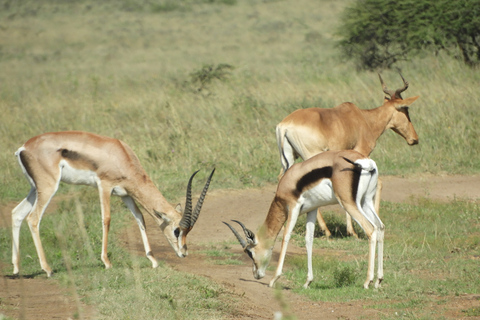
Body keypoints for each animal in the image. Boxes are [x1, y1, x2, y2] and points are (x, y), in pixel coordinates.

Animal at [11, 131, 215, 276]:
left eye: (188, 232)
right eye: (177, 231)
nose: (183, 253)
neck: (121, 156)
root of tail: (23, 148)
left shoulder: (125, 193)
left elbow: (140, 218)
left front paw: (153, 261)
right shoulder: (104, 186)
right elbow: (107, 219)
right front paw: (107, 262)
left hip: (35, 189)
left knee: (17, 213)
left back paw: (16, 269)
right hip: (49, 187)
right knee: (33, 219)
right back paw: (47, 269)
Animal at [223, 150, 384, 290]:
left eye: (249, 252)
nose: (256, 274)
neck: (289, 181)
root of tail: (366, 162)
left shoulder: (293, 207)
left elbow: (286, 237)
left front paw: (274, 279)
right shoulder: (312, 209)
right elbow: (309, 239)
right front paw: (308, 282)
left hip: (349, 203)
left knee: (370, 229)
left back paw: (367, 282)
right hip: (365, 201)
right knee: (380, 227)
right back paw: (378, 281)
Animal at [276, 73, 418, 238]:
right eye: (406, 110)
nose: (414, 139)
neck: (363, 118)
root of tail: (285, 125)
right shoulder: (360, 154)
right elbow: (378, 182)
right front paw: (354, 231)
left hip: (289, 158)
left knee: (283, 178)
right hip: (311, 156)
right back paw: (326, 231)